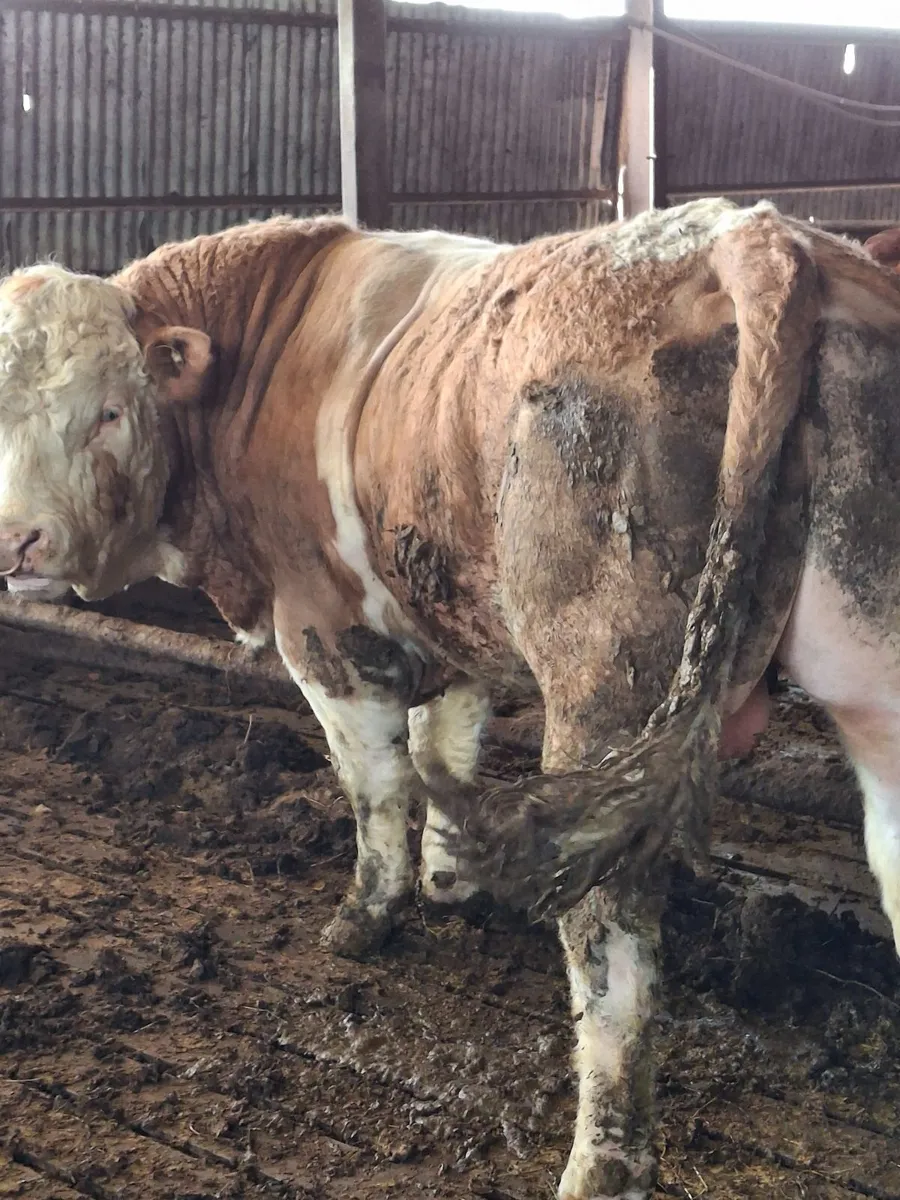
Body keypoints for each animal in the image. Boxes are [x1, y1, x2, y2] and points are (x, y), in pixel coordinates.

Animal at [1, 198, 900, 1198]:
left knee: (611, 942)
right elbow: (447, 748)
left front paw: (370, 914)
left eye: (111, 412)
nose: (18, 542)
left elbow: (378, 786)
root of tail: (753, 235)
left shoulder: (325, 633)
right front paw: (445, 874)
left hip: (605, 685)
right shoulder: (448, 616)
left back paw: (602, 1162)